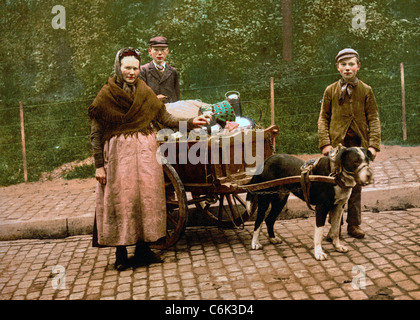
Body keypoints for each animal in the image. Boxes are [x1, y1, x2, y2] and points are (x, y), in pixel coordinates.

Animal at [246, 147, 374, 260]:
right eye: (356, 161)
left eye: (367, 161)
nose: (370, 176)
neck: (335, 176)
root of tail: (266, 160)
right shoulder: (321, 207)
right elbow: (319, 232)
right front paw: (318, 253)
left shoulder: (339, 207)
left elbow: (336, 229)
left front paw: (337, 246)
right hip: (265, 198)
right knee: (259, 220)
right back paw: (255, 243)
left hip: (280, 200)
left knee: (269, 219)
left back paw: (272, 238)